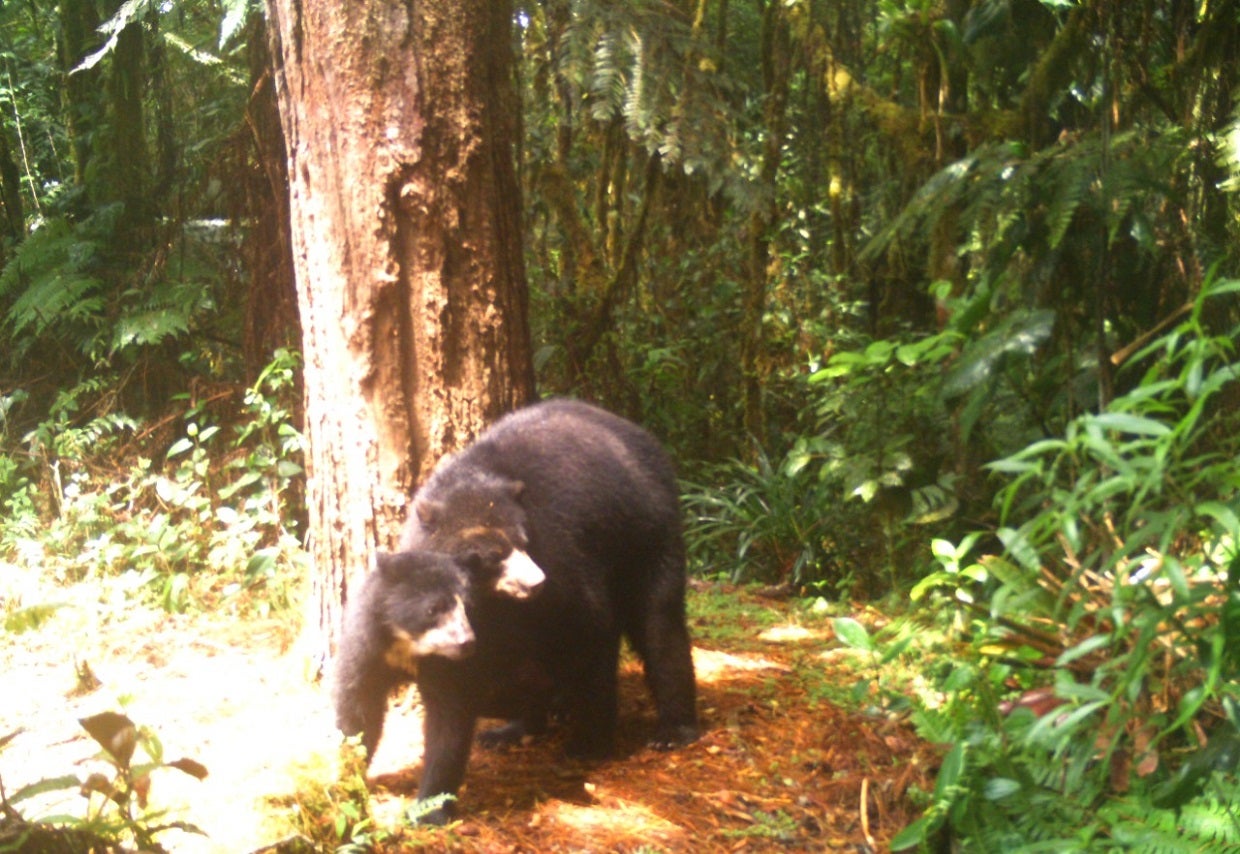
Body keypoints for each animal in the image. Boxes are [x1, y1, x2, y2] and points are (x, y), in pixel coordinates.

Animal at [394, 398, 700, 817]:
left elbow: (591, 635)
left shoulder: (565, 566)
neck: (489, 604)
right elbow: (448, 695)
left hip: (648, 538)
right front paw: (432, 802)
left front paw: (589, 741)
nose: (537, 581)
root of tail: (641, 436)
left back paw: (673, 729)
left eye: (523, 541)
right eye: (492, 555)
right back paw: (515, 728)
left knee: (659, 623)